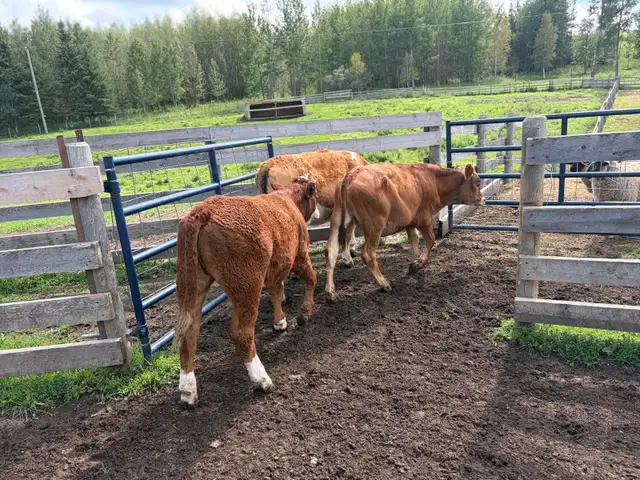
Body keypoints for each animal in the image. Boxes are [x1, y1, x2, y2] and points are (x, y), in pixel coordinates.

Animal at [174, 176, 318, 406]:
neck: (287, 199)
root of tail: (204, 211)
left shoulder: (275, 266)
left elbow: (276, 291)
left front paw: (280, 321)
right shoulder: (299, 254)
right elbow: (310, 278)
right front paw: (304, 313)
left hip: (192, 284)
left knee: (190, 332)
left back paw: (188, 390)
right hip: (247, 285)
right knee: (241, 333)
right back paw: (262, 379)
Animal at [325, 163, 484, 301]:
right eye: (477, 183)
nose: (483, 200)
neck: (433, 180)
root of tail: (350, 176)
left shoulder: (410, 223)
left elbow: (414, 241)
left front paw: (416, 261)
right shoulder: (423, 220)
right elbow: (431, 240)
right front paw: (419, 263)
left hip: (337, 219)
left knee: (330, 251)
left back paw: (330, 291)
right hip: (374, 226)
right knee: (368, 254)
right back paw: (384, 283)